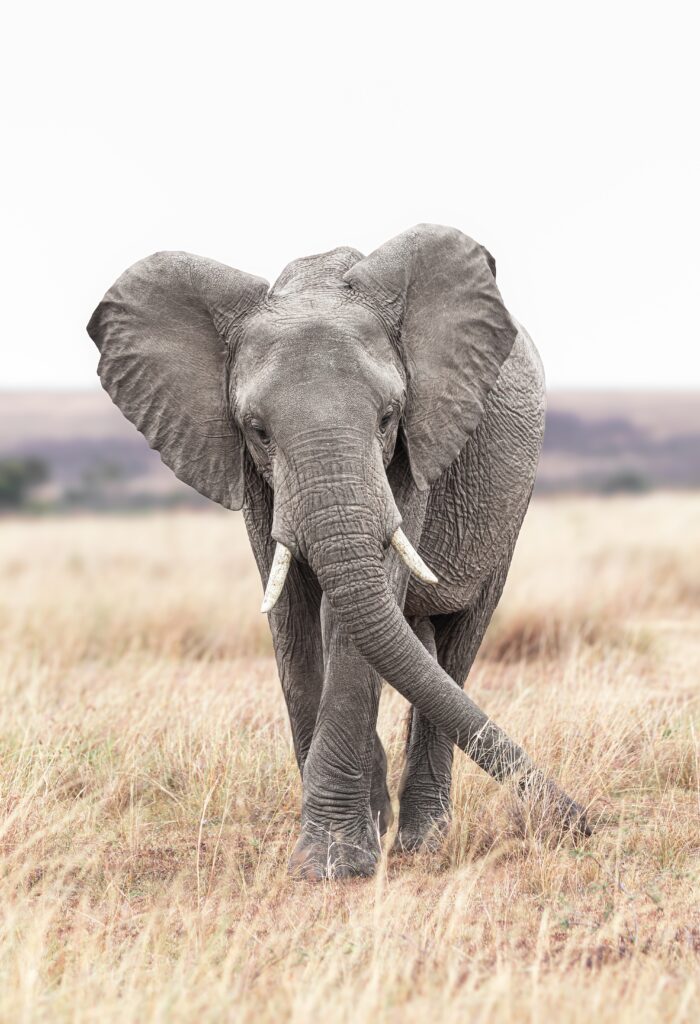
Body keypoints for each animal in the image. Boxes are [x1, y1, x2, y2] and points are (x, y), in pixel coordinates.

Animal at [87, 223, 590, 880]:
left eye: (388, 416)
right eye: (257, 430)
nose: (582, 820)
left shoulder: (413, 450)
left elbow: (359, 614)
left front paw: (333, 865)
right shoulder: (252, 474)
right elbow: (293, 617)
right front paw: (339, 850)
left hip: (510, 508)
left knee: (456, 644)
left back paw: (422, 842)